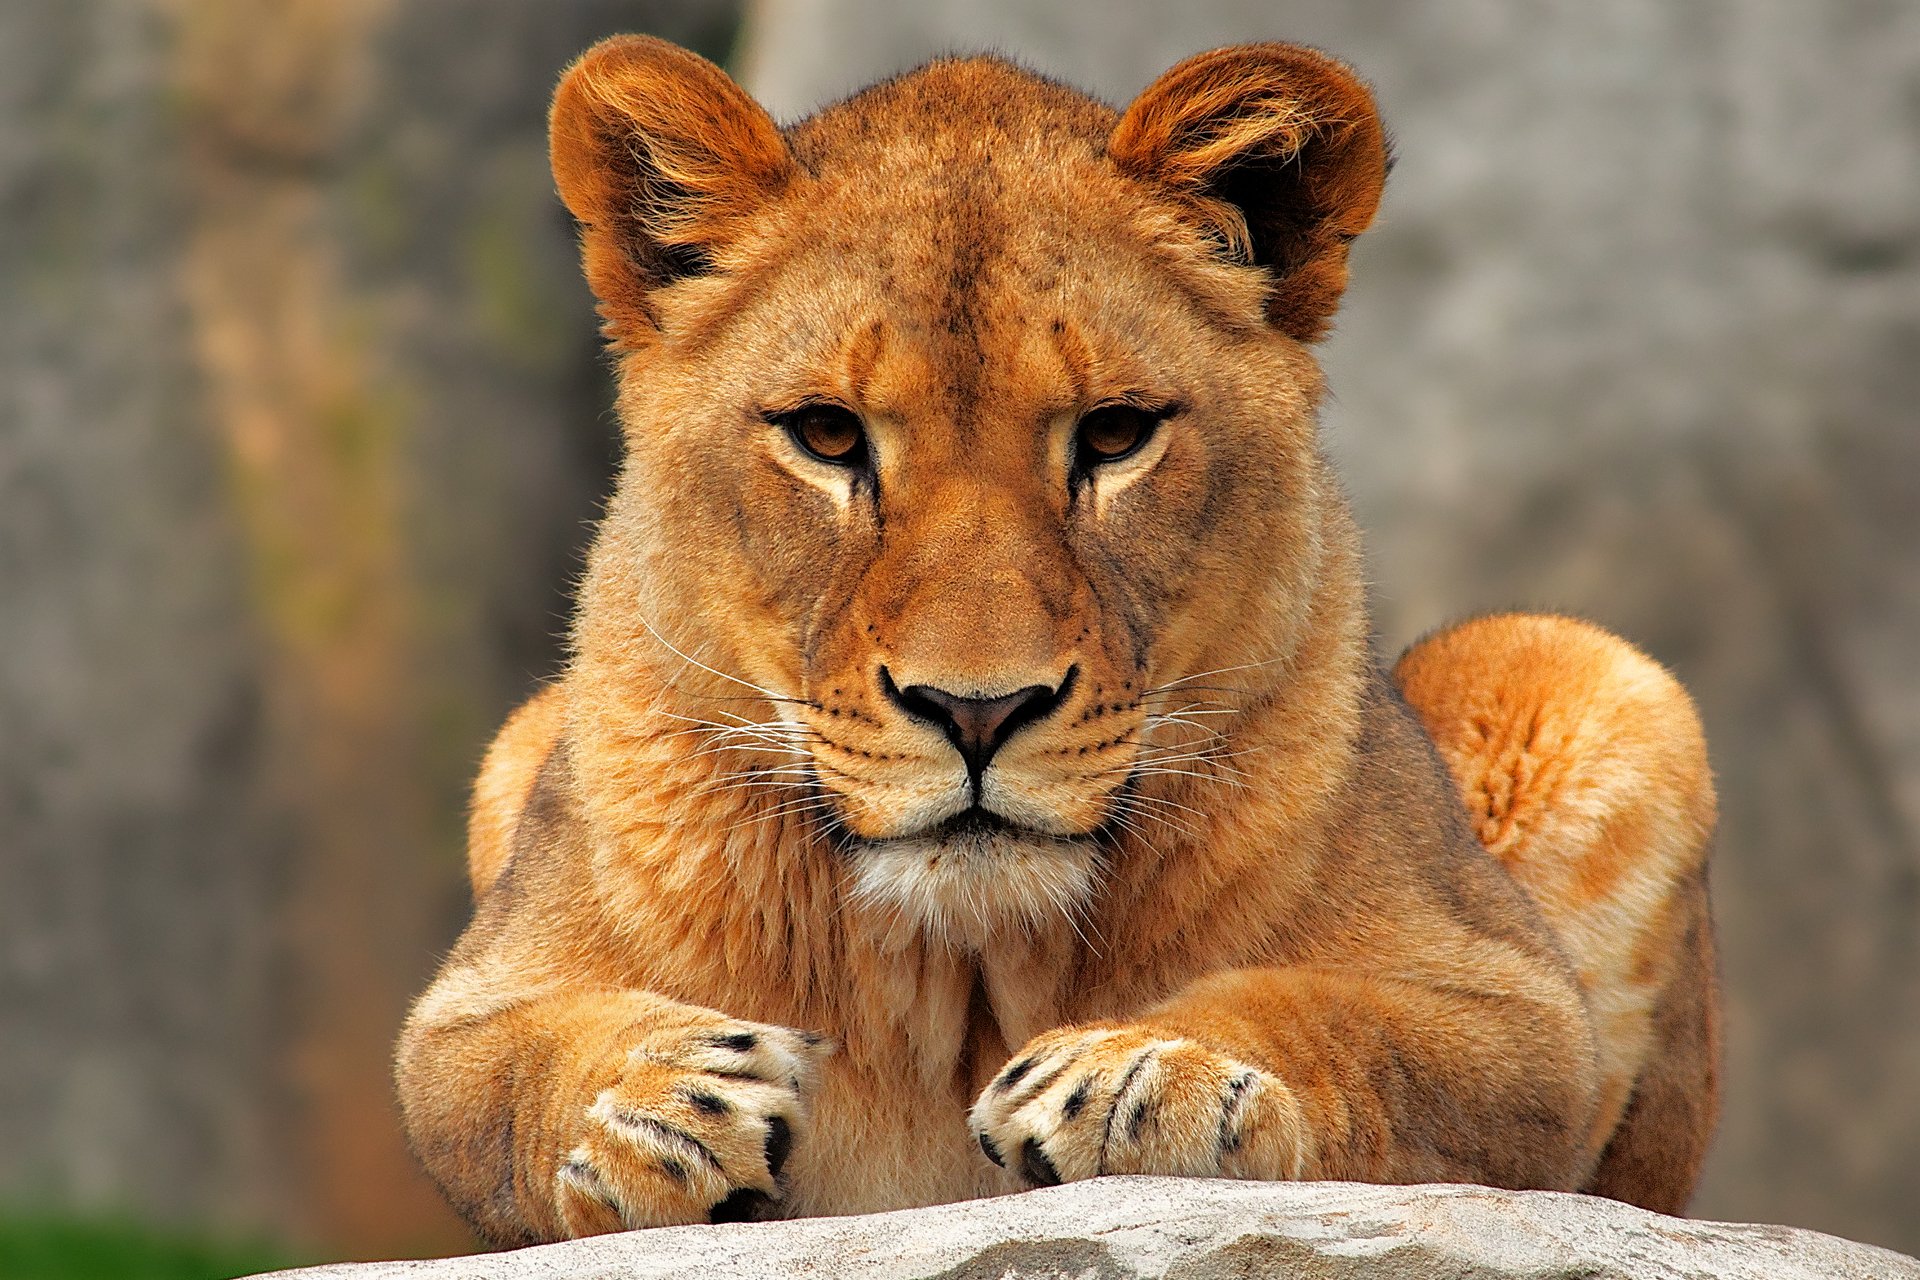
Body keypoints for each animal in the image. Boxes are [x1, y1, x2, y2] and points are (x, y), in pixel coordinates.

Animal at [397, 35, 1720, 1243]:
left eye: (1116, 433)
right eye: (826, 435)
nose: (977, 710)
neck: (967, 970)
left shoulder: (1514, 1008)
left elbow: (1344, 1018)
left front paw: (1152, 1067)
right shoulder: (470, 1001)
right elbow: (499, 1069)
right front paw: (651, 1103)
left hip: (1590, 674)